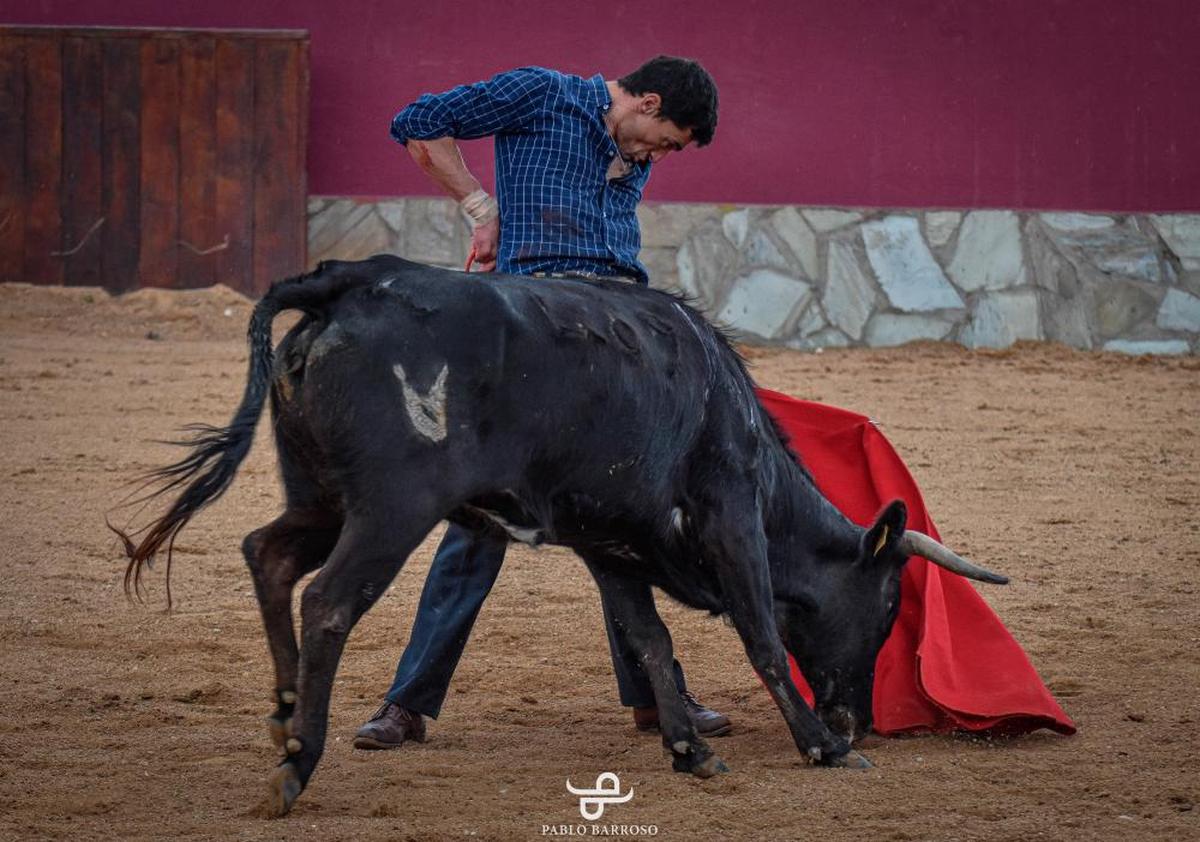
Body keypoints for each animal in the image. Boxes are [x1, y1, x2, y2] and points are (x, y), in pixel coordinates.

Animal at [119, 255, 1003, 815]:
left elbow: (650, 641)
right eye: (888, 605)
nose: (859, 720)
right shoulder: (731, 518)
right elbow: (757, 632)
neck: (728, 410)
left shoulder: (610, 545)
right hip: (391, 511)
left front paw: (690, 749)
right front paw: (822, 748)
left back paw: (284, 711)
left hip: (322, 497)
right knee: (329, 601)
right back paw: (298, 762)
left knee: (267, 554)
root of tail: (353, 283)